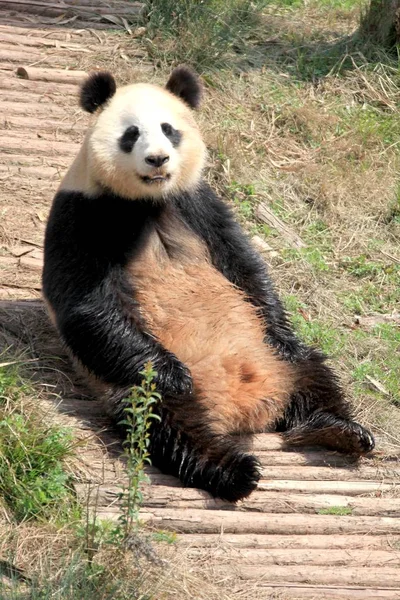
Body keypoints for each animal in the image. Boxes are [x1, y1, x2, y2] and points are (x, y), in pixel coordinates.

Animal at [42, 68, 374, 504]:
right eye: (131, 133)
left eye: (169, 130)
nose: (158, 158)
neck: (148, 201)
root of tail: (242, 409)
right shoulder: (83, 210)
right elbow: (84, 302)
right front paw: (174, 374)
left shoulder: (197, 201)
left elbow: (243, 263)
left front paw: (278, 325)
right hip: (131, 382)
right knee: (164, 418)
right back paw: (234, 469)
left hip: (270, 356)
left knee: (311, 369)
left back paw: (340, 430)